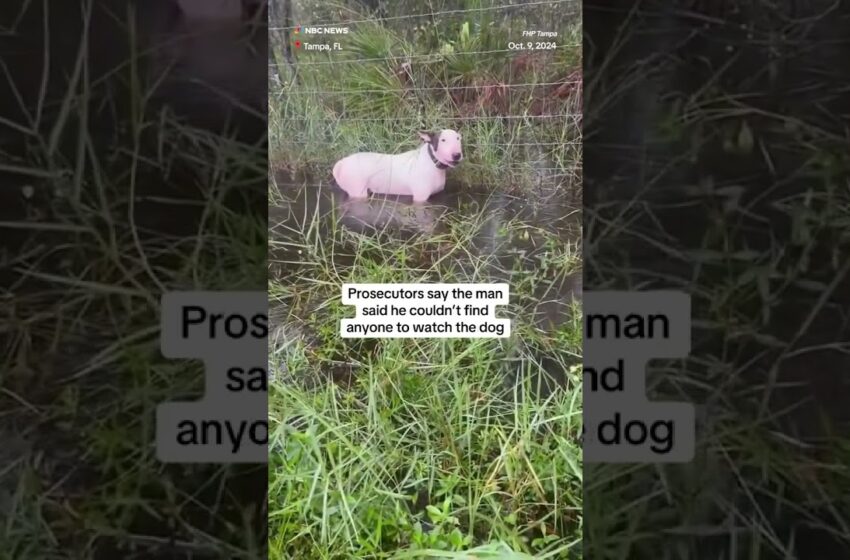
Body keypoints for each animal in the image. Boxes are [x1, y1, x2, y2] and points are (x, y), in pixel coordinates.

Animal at [332, 130, 464, 203]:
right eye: (443, 140)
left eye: (458, 138)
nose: (457, 155)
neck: (432, 162)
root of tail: (342, 163)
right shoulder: (420, 198)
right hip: (357, 191)